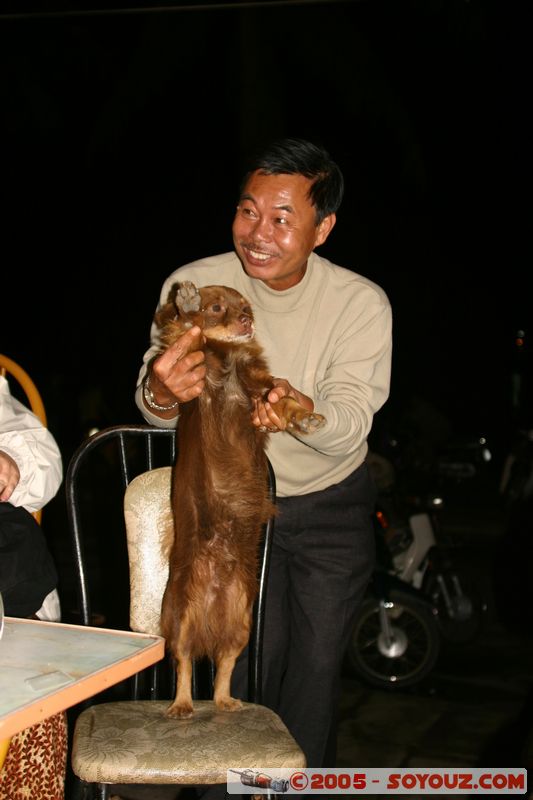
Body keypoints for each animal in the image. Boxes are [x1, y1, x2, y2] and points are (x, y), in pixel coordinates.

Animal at [156, 282, 326, 720]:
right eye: (218, 307)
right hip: (181, 616)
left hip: (242, 624)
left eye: (246, 307)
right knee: (184, 662)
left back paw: (224, 700)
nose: (248, 320)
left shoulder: (259, 387)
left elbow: (281, 400)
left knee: (224, 664)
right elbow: (183, 327)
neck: (227, 357)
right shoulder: (192, 365)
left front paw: (304, 416)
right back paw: (182, 705)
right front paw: (187, 301)